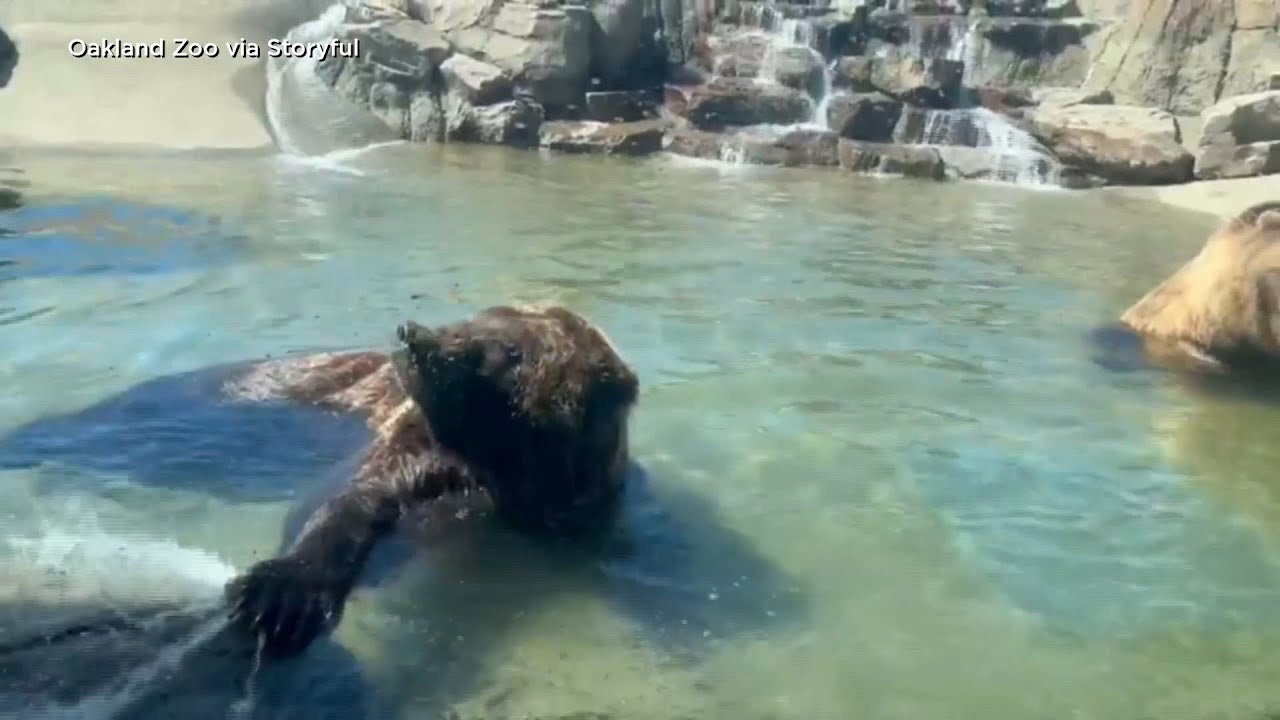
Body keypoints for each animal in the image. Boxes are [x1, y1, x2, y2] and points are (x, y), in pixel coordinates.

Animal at [221, 303, 640, 658]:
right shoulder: (414, 450)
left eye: (508, 349)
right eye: (479, 315)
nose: (412, 334)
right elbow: (349, 502)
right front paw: (277, 596)